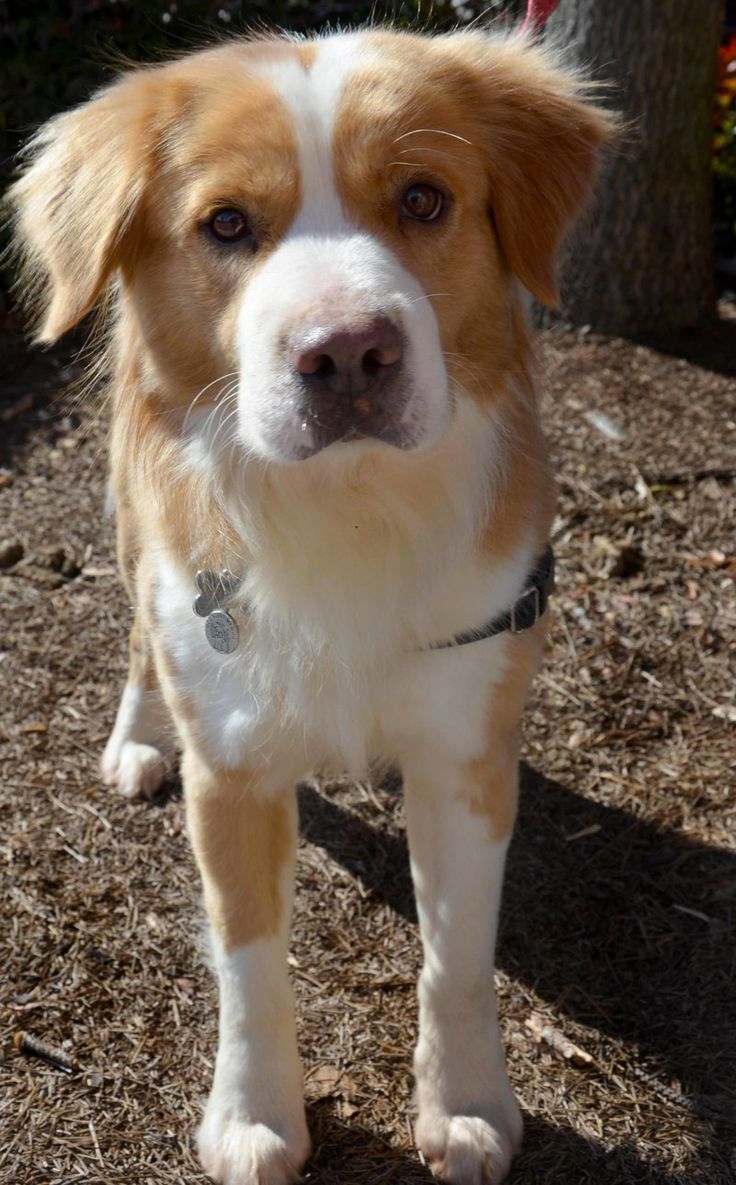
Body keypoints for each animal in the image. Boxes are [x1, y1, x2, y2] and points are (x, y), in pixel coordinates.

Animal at [11, 27, 616, 1185]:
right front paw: (253, 1117)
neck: (348, 508)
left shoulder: (465, 747)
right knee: (139, 642)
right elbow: (249, 967)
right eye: (225, 223)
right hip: (135, 536)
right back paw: (137, 737)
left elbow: (455, 957)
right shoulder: (233, 762)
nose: (345, 353)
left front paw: (466, 1105)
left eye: (424, 199)